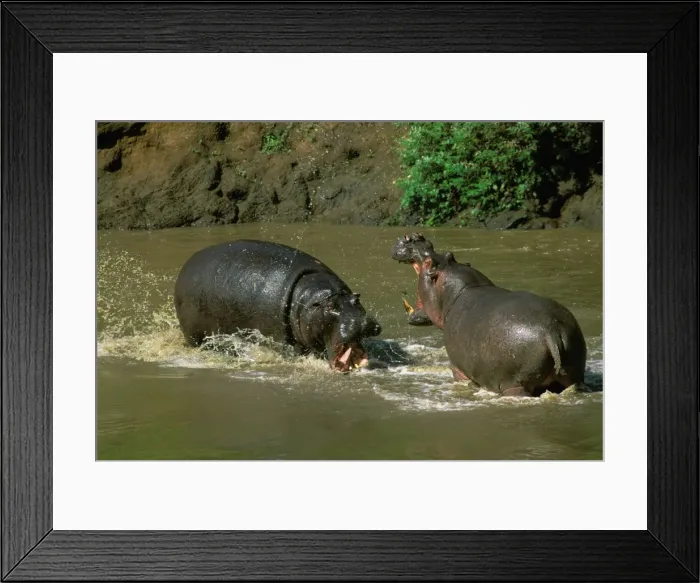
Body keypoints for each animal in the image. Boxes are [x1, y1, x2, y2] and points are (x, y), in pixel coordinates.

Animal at [174, 239, 381, 372]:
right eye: (330, 306)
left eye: (356, 299)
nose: (359, 321)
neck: (307, 300)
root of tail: (186, 265)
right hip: (193, 334)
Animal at [390, 233, 588, 397]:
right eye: (449, 254)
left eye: (428, 263)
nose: (416, 238)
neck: (464, 289)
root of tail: (551, 331)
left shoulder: (457, 369)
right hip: (573, 373)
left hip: (515, 385)